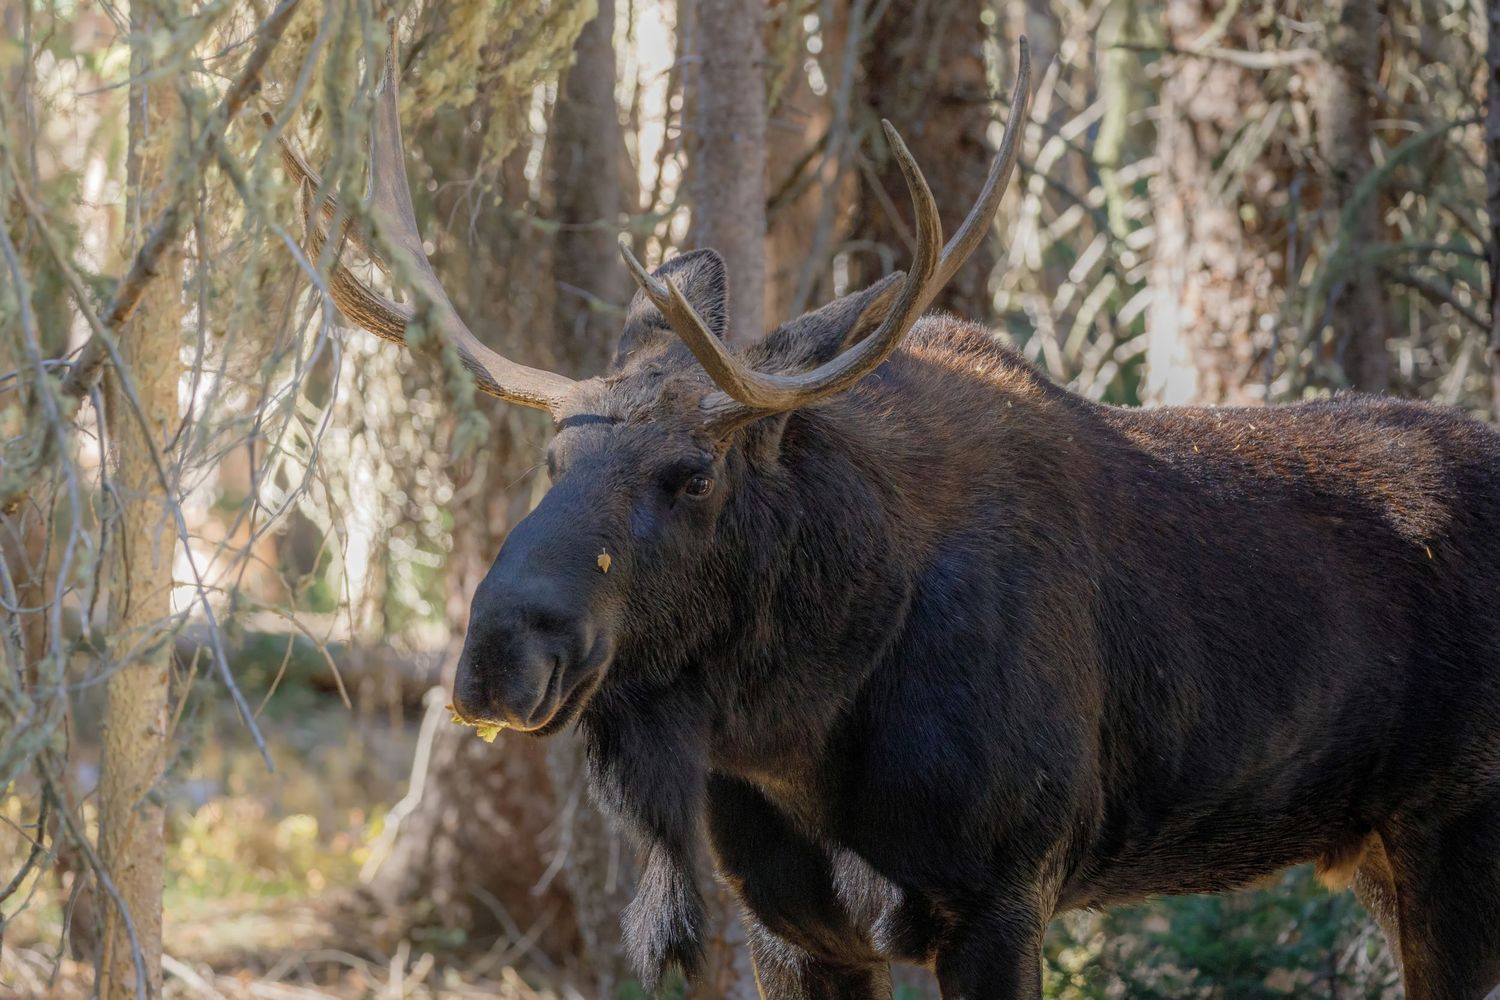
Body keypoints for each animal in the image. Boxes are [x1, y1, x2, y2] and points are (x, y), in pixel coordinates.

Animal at [275, 28, 1500, 1000]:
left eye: (694, 475)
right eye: (551, 454)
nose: (496, 653)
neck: (801, 729)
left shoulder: (1003, 898)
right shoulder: (791, 929)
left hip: (1451, 836)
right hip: (1382, 852)